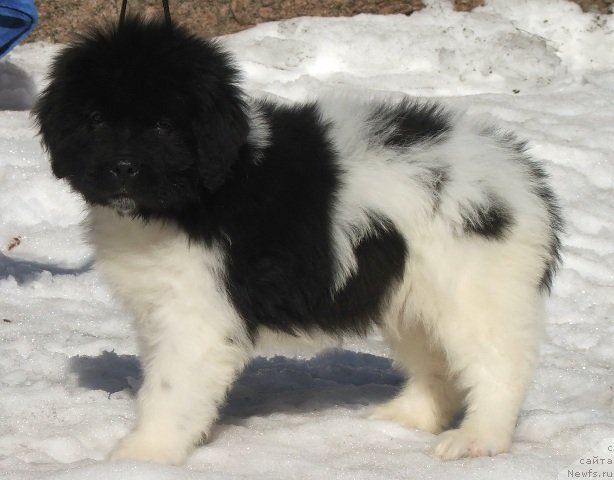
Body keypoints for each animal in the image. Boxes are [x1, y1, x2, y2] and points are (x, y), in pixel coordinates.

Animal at [32, 16, 564, 464]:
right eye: (95, 120)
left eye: (164, 125)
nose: (123, 169)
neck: (201, 192)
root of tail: (523, 174)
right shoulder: (158, 306)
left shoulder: (198, 313)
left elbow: (169, 387)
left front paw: (143, 455)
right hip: (410, 295)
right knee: (438, 365)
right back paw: (407, 417)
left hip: (475, 292)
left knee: (499, 368)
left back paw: (479, 439)